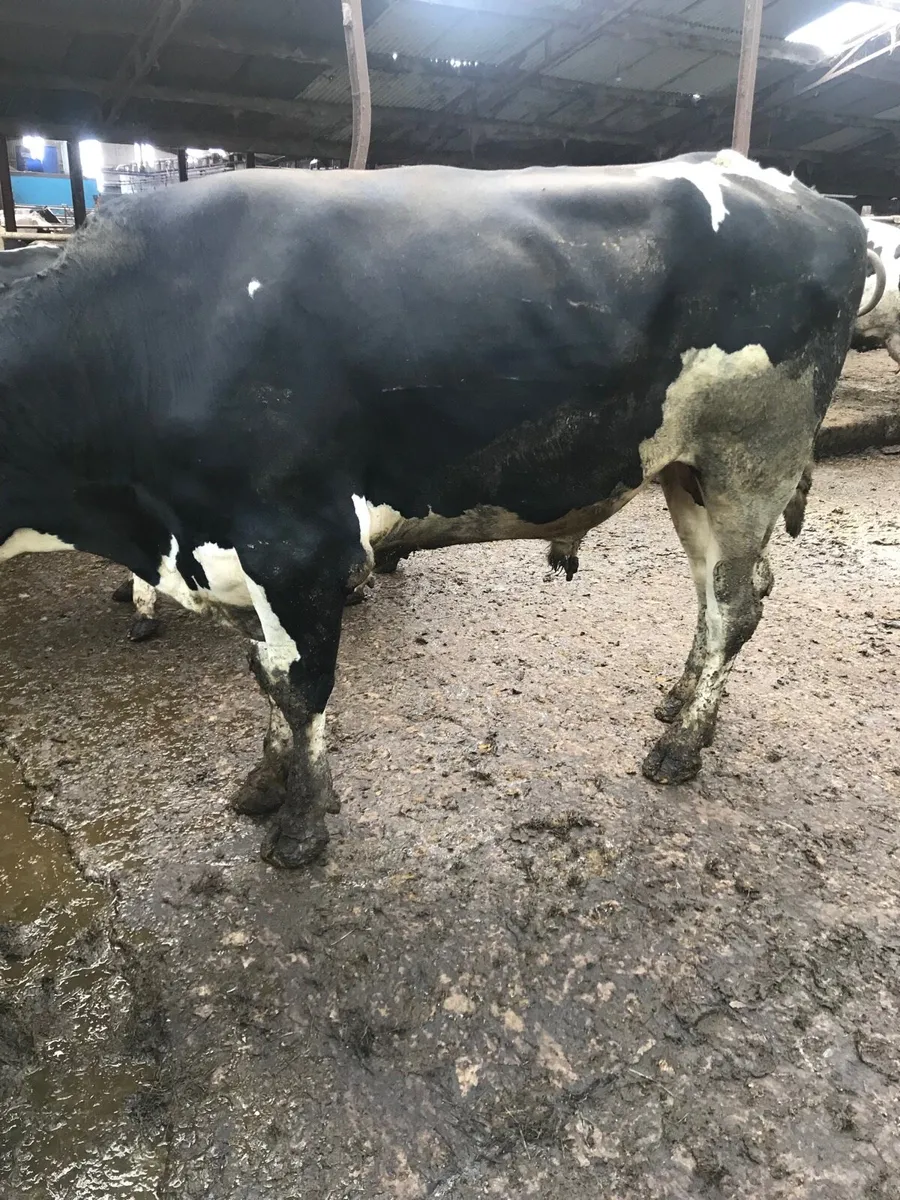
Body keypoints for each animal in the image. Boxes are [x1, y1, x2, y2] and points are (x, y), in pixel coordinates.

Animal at [0, 150, 871, 870]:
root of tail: (817, 202)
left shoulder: (298, 546)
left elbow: (299, 685)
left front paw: (301, 828)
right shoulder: (231, 553)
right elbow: (264, 676)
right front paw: (265, 784)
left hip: (750, 457)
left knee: (734, 607)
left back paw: (680, 748)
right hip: (685, 471)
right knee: (721, 594)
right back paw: (682, 704)